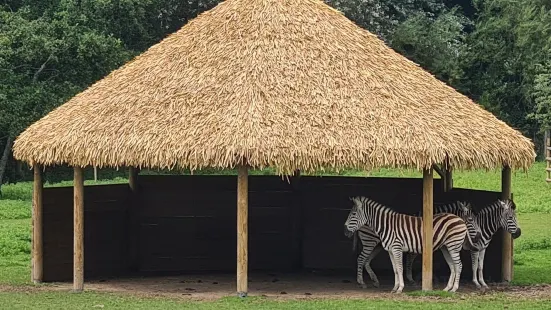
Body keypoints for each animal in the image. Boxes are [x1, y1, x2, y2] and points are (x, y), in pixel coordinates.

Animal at [344, 196, 478, 294]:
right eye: (471, 219)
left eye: (353, 214)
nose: (345, 232)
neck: (386, 225)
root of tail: (458, 219)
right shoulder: (390, 250)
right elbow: (395, 269)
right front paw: (395, 288)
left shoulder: (397, 248)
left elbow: (400, 267)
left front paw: (400, 288)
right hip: (446, 247)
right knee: (453, 266)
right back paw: (447, 289)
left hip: (453, 246)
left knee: (458, 265)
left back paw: (454, 289)